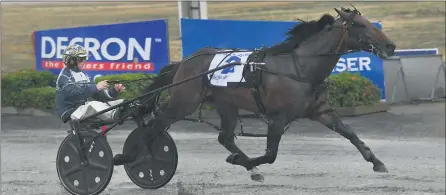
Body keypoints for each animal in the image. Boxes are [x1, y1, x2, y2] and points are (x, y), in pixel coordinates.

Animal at [113, 7, 396, 181]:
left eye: (369, 22)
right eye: (360, 25)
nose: (390, 45)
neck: (300, 68)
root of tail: (185, 61)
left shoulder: (321, 111)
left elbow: (350, 133)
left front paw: (377, 162)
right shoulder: (277, 118)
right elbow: (271, 154)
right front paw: (238, 160)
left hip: (226, 105)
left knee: (225, 137)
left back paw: (249, 166)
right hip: (184, 101)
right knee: (154, 125)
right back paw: (127, 156)